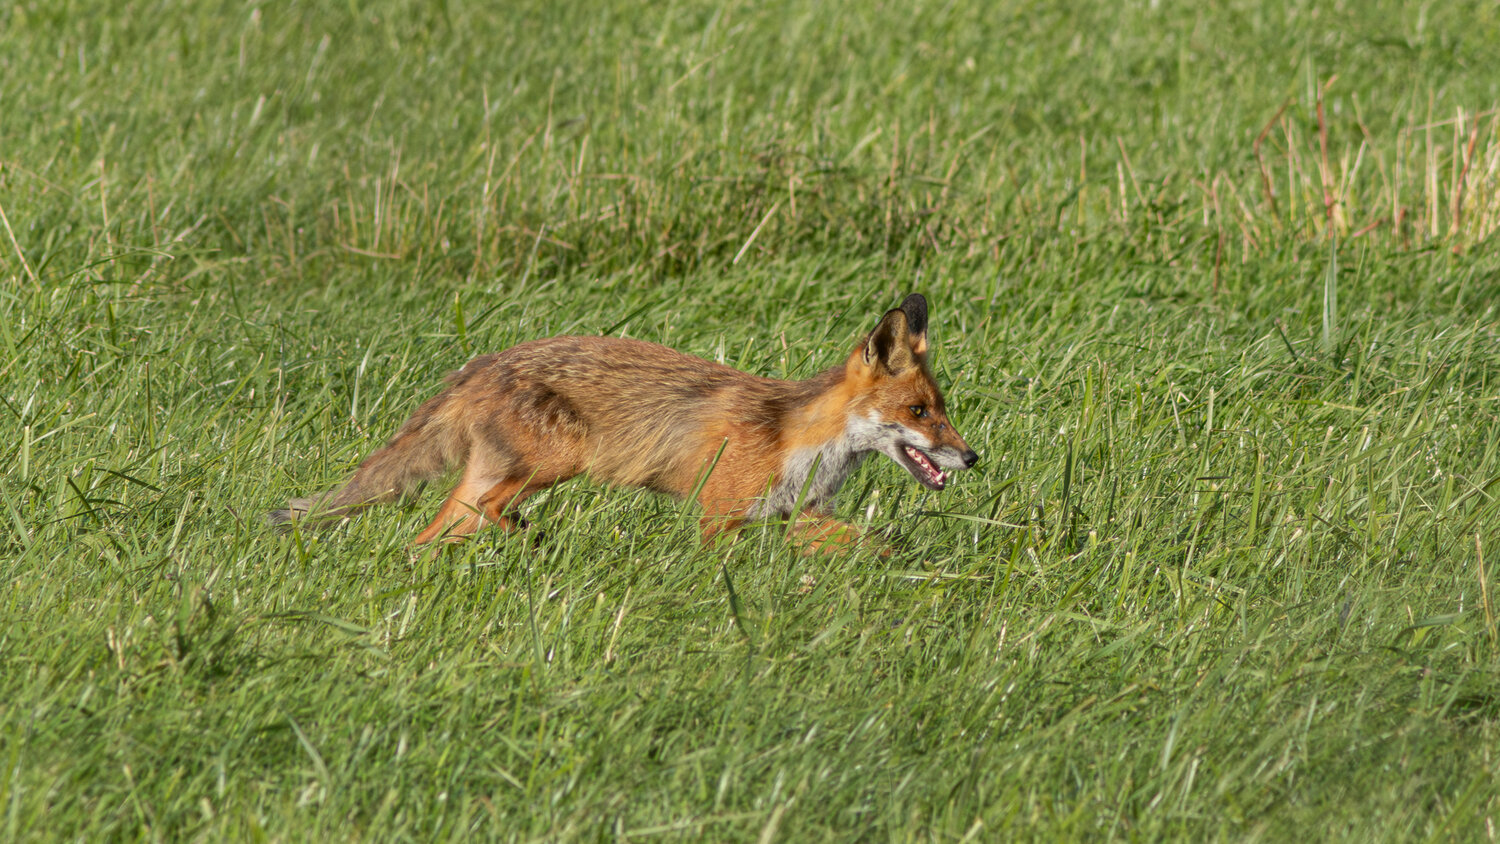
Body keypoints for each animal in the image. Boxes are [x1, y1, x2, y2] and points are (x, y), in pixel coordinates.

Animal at [269, 293, 978, 553]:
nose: (972, 459)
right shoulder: (719, 515)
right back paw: (530, 541)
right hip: (558, 461)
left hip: (490, 479)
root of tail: (482, 363)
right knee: (493, 510)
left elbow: (877, 543)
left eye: (942, 410)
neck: (797, 442)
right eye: (918, 413)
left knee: (434, 529)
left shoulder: (795, 514)